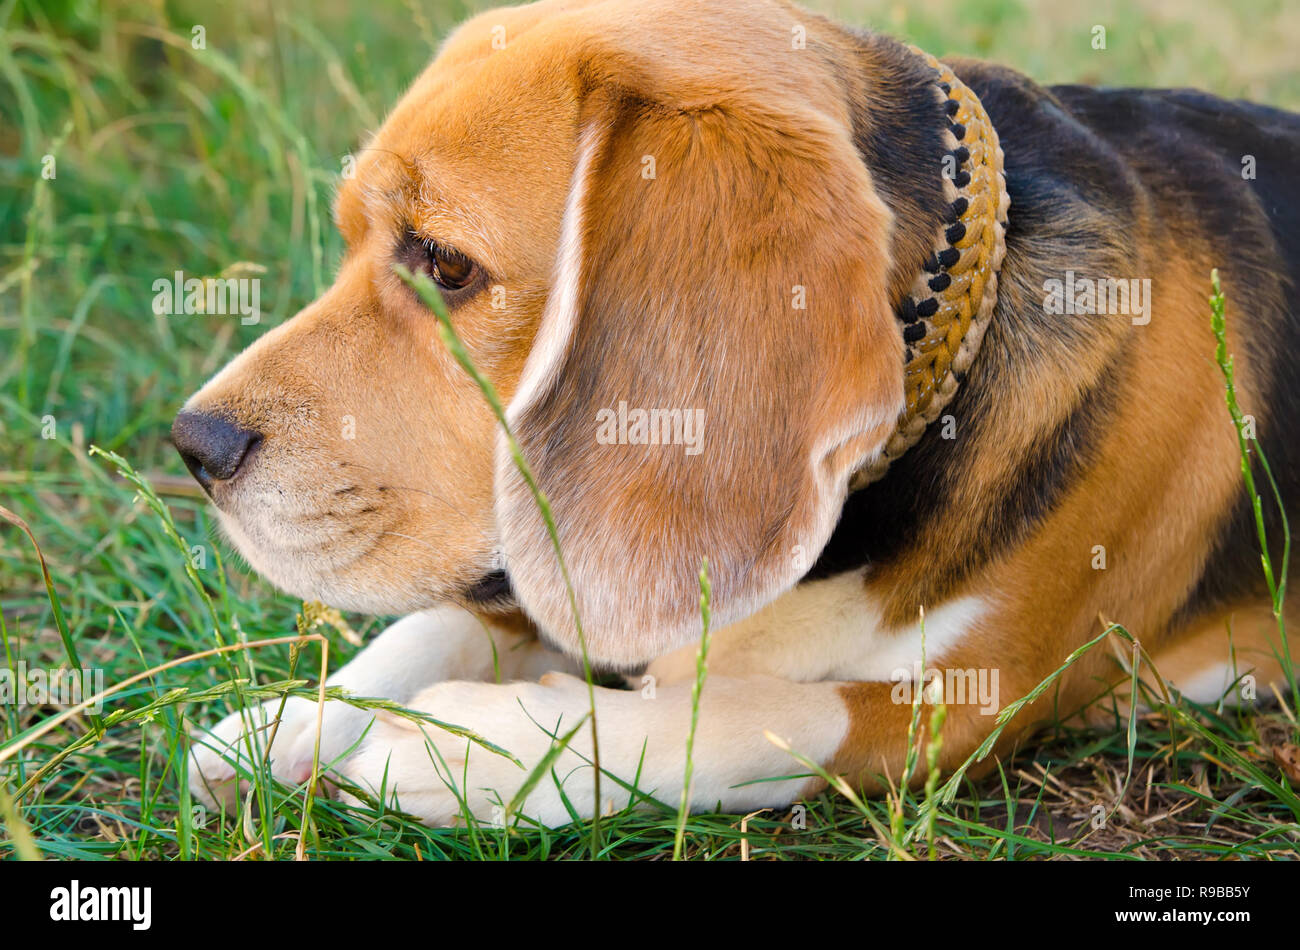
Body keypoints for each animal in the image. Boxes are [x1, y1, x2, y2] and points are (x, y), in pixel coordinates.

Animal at [175, 0, 1300, 826]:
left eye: (446, 265)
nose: (193, 447)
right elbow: (452, 619)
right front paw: (297, 720)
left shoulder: (971, 704)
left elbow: (746, 717)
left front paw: (469, 744)